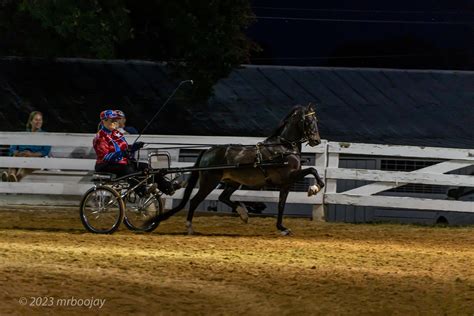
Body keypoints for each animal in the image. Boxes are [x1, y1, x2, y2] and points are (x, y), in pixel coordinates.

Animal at [154, 104, 324, 235]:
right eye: (308, 120)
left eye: (316, 120)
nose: (316, 141)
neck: (283, 147)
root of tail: (207, 151)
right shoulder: (289, 176)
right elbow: (312, 170)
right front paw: (314, 189)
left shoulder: (286, 184)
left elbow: (281, 205)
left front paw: (282, 228)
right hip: (210, 181)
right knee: (196, 200)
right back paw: (190, 227)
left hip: (233, 182)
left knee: (223, 197)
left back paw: (243, 214)